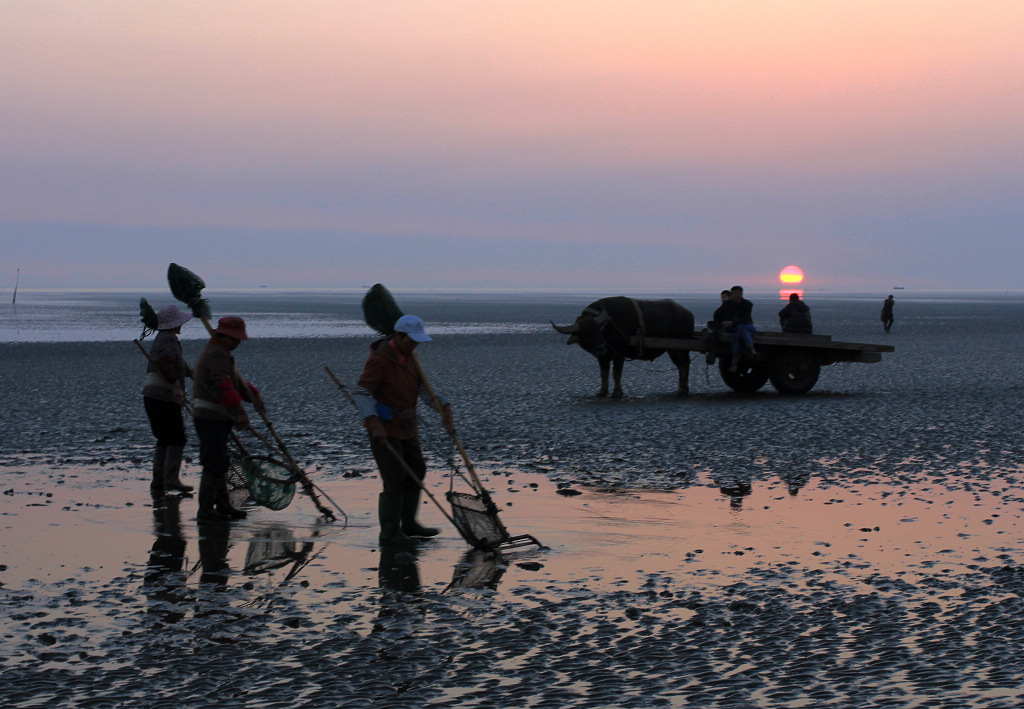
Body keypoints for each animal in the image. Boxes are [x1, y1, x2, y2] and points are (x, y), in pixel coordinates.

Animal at [552, 295, 696, 399]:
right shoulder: (602, 357)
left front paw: (617, 393)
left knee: (685, 364)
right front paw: (602, 391)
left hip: (682, 347)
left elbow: (616, 373)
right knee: (680, 365)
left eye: (597, 330)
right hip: (672, 349)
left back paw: (683, 390)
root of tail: (688, 313)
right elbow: (604, 373)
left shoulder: (619, 353)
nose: (601, 347)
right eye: (586, 334)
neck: (608, 327)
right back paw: (681, 388)